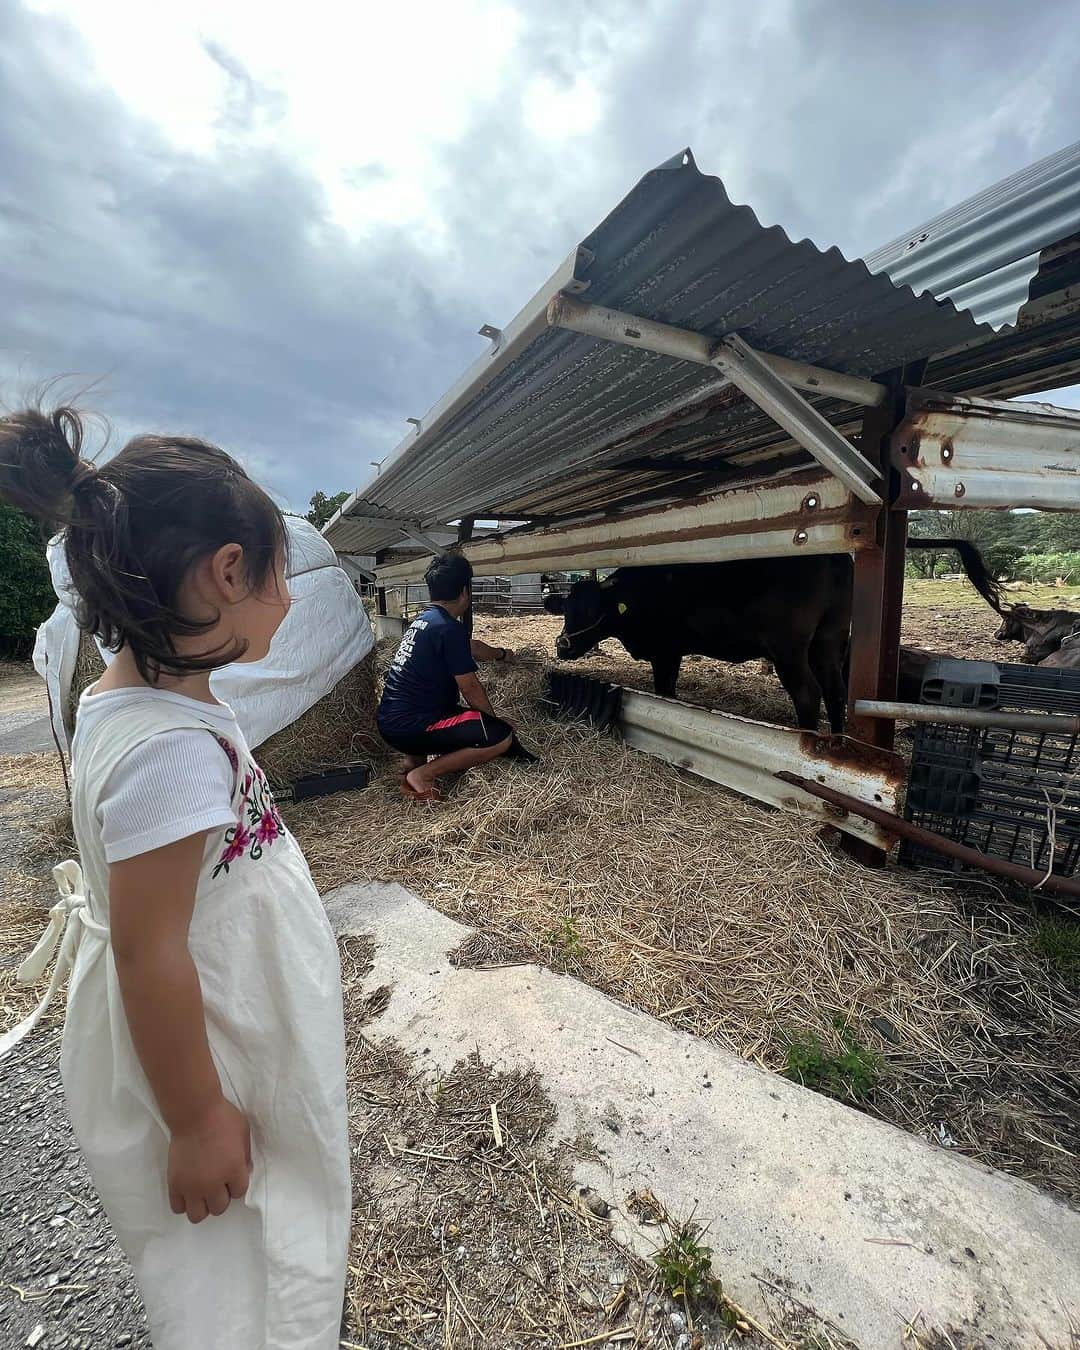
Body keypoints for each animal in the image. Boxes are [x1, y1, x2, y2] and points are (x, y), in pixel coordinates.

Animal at [545, 537, 1009, 734]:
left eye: (592, 612)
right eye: (567, 609)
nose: (563, 646)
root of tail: (835, 553)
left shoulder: (666, 650)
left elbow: (666, 690)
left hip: (788, 647)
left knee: (808, 693)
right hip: (829, 639)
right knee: (835, 691)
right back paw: (834, 739)